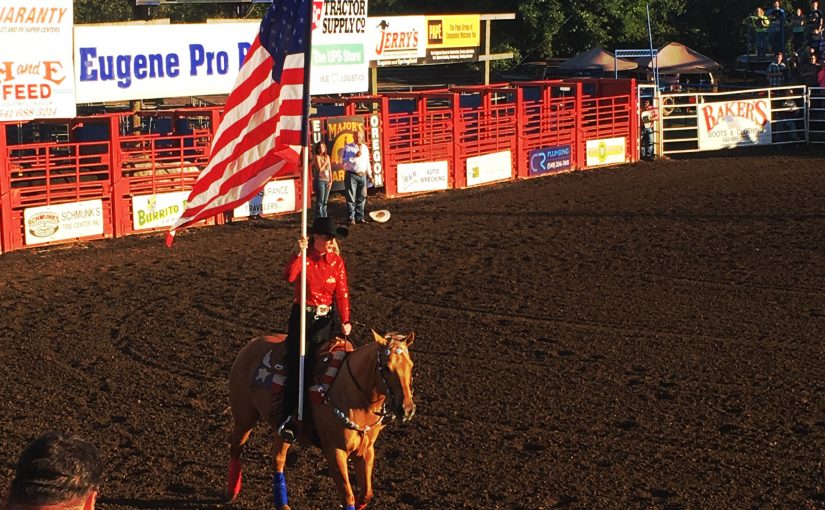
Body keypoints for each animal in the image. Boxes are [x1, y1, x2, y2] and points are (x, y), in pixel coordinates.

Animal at [224, 328, 416, 508]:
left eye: (411, 365)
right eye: (387, 368)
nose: (407, 409)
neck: (352, 394)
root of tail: (252, 344)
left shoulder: (366, 450)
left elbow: (366, 494)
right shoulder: (335, 452)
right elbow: (348, 497)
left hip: (283, 428)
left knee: (277, 458)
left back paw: (282, 504)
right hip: (244, 417)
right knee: (236, 449)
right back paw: (231, 492)